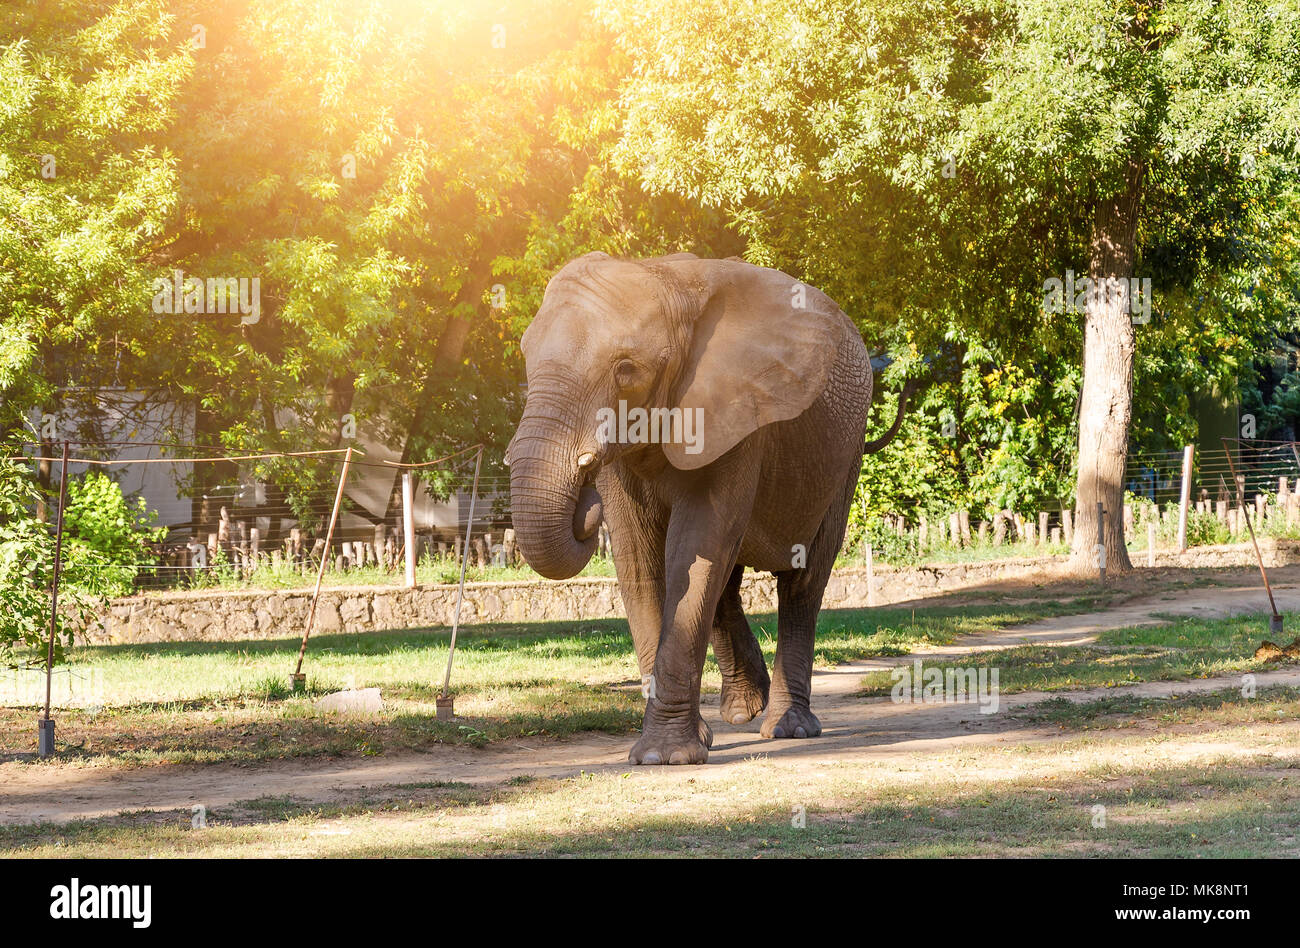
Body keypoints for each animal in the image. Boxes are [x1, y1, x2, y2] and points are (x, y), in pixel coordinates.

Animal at [505, 252, 911, 765]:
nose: (585, 503)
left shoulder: (738, 414)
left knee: (803, 581)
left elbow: (695, 547)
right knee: (727, 580)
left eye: (626, 369)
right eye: (526, 356)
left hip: (845, 456)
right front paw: (685, 745)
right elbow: (639, 559)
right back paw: (743, 710)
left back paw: (787, 728)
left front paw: (664, 758)